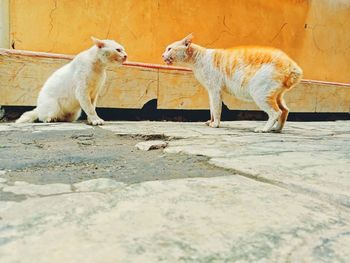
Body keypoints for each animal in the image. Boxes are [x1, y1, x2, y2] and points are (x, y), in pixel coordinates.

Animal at [163, 34, 302, 134]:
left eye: (169, 48)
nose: (162, 55)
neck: (198, 58)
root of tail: (293, 67)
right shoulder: (211, 91)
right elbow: (212, 108)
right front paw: (210, 122)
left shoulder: (215, 90)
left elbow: (216, 109)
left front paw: (215, 124)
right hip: (275, 95)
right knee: (285, 110)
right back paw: (277, 129)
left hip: (260, 94)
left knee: (276, 112)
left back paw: (264, 129)